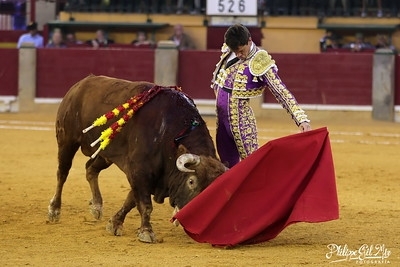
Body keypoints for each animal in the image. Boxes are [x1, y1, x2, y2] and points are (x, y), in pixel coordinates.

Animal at [47, 75, 227, 243]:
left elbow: (131, 200)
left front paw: (115, 223)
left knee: (90, 169)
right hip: (67, 140)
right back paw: (54, 210)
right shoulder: (140, 171)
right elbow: (144, 205)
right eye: (191, 181)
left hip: (105, 153)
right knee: (62, 173)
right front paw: (146, 232)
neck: (171, 137)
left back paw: (96, 206)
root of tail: (81, 84)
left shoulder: (147, 175)